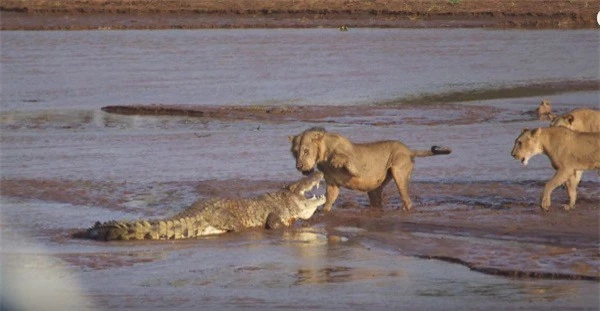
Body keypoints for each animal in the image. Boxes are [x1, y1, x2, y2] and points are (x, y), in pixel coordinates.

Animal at [290, 127, 450, 212]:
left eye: (306, 151)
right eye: (295, 152)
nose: (299, 166)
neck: (323, 156)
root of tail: (409, 150)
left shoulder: (357, 169)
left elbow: (346, 159)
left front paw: (337, 160)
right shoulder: (332, 184)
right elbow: (329, 200)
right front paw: (324, 212)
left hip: (399, 171)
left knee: (407, 199)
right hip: (375, 188)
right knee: (376, 197)